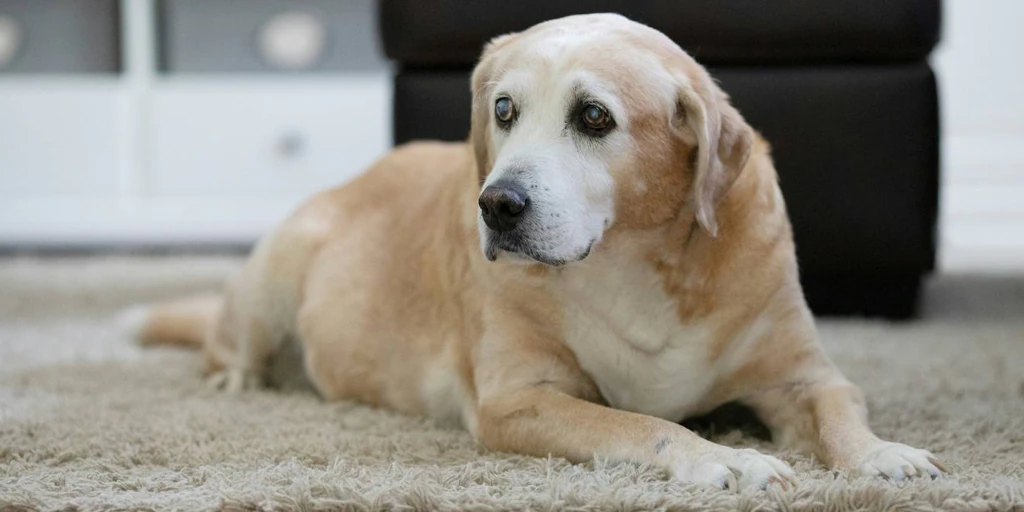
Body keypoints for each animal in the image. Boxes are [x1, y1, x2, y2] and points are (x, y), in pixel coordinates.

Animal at [128, 14, 942, 489]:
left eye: (594, 117)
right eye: (503, 109)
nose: (496, 205)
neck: (628, 262)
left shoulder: (804, 375)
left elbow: (840, 410)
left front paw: (883, 455)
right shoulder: (518, 399)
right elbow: (644, 425)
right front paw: (726, 458)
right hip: (277, 269)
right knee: (229, 342)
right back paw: (239, 377)